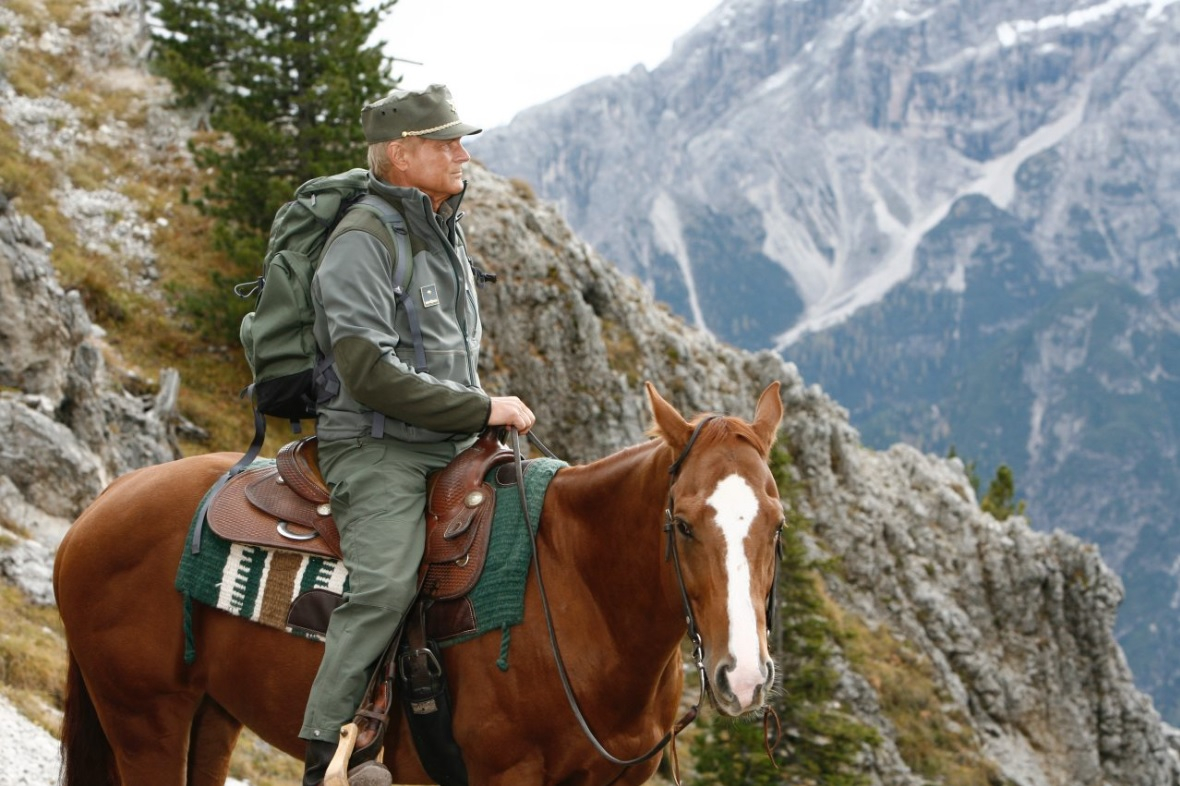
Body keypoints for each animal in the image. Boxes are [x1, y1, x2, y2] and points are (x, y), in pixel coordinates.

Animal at [57, 377, 792, 778]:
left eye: (778, 524)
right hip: (145, 719)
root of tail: (101, 504)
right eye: (684, 524)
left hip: (213, 715)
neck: (583, 599)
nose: (742, 678)